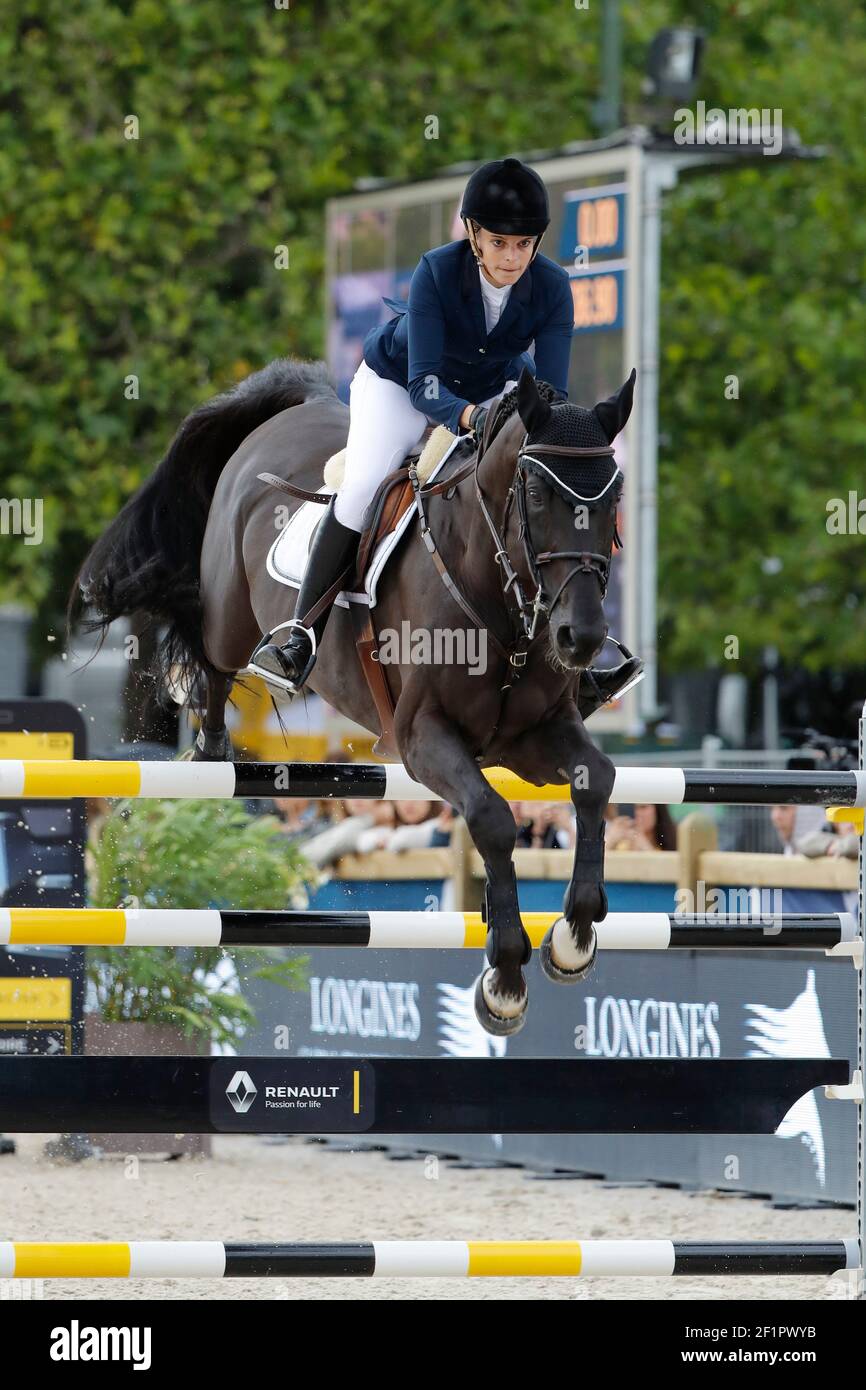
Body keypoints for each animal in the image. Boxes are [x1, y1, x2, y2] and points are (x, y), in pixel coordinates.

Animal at [77, 358, 636, 1034]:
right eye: (533, 493)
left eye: (613, 499)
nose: (581, 638)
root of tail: (293, 409)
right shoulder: (421, 740)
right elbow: (492, 819)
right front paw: (503, 980)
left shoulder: (532, 736)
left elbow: (596, 780)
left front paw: (573, 939)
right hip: (231, 617)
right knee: (212, 660)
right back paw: (212, 747)